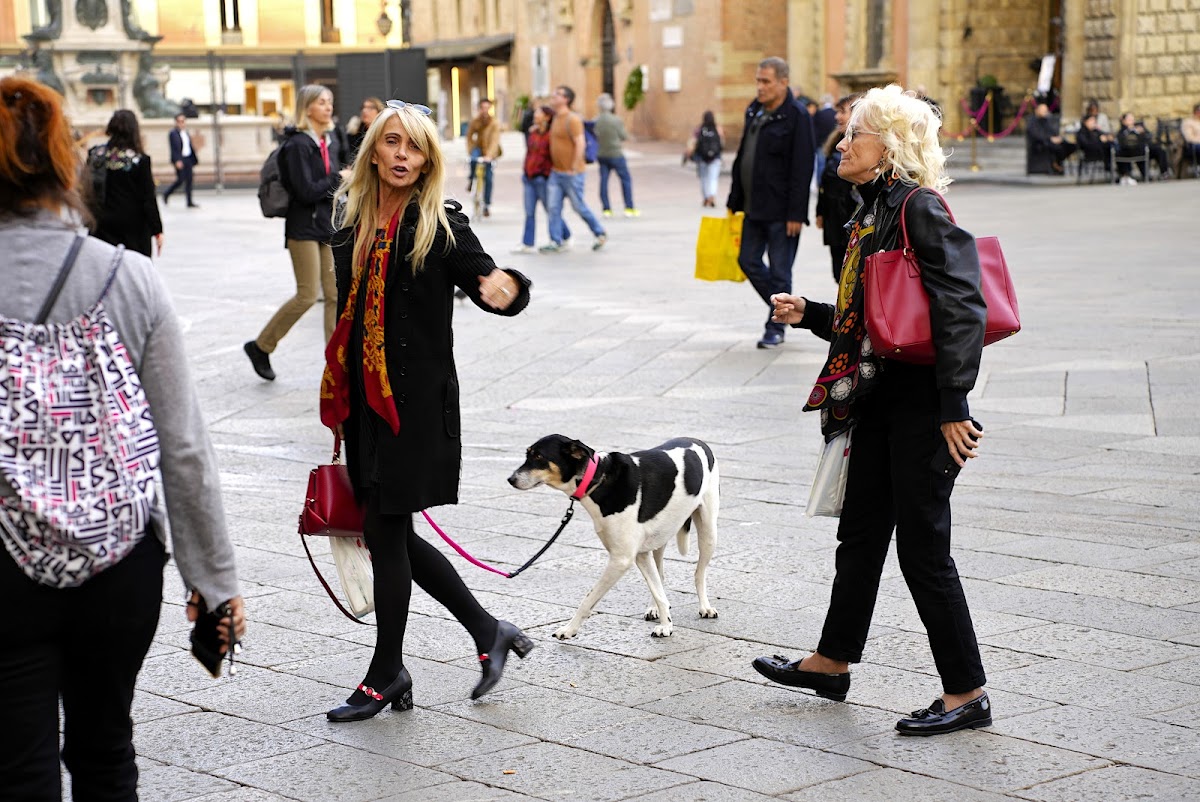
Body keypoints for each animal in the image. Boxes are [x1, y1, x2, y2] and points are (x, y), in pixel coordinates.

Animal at [508, 434, 715, 633]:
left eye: (538, 456)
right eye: (528, 454)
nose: (510, 479)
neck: (598, 478)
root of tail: (695, 440)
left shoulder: (620, 560)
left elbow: (588, 599)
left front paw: (568, 630)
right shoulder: (640, 554)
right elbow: (658, 591)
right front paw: (666, 626)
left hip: (708, 535)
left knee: (699, 573)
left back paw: (705, 607)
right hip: (660, 538)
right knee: (661, 576)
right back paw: (654, 608)